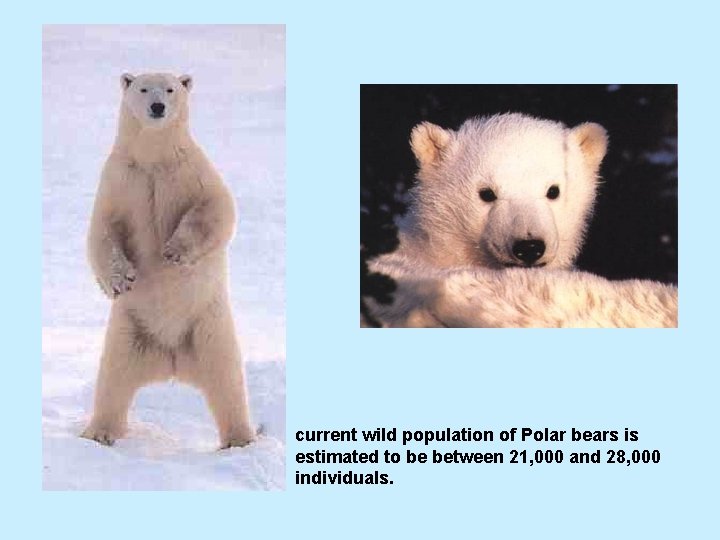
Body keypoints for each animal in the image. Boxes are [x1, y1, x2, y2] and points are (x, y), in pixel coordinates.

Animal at [81, 73, 255, 448]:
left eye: (171, 88)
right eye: (144, 88)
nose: (158, 107)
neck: (153, 159)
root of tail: (171, 360)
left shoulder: (192, 170)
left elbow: (216, 207)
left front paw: (174, 251)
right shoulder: (119, 179)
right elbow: (102, 230)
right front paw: (121, 279)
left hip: (208, 328)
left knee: (227, 380)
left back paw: (240, 439)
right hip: (128, 331)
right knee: (112, 380)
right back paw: (98, 432)